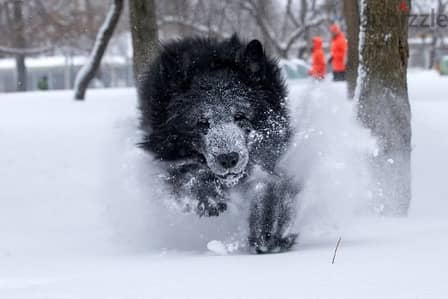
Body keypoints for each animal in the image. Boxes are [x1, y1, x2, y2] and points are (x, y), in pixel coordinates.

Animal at [136, 35, 298, 255]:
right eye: (202, 122)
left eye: (240, 116)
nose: (228, 159)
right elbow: (186, 173)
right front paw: (208, 195)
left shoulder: (268, 163)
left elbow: (270, 187)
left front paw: (269, 227)